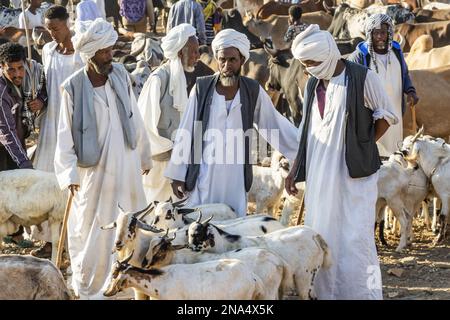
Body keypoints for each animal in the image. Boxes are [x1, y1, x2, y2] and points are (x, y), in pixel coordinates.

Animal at [186, 220, 330, 300]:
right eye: (189, 233)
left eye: (198, 234)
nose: (190, 247)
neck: (225, 244)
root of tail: (316, 236)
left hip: (306, 275)